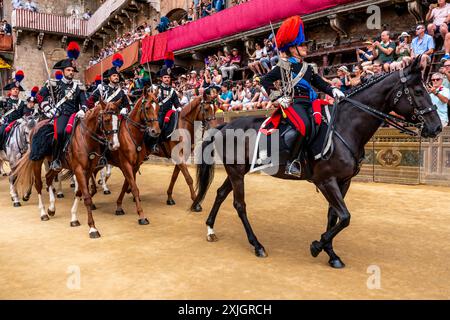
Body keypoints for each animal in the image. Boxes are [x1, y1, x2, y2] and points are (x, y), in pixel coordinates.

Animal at [13, 100, 121, 238]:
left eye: (118, 119)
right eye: (107, 120)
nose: (115, 145)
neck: (86, 138)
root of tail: (37, 125)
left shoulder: (87, 171)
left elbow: (79, 193)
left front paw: (74, 218)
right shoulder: (79, 170)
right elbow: (86, 197)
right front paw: (92, 228)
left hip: (57, 165)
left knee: (48, 178)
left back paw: (51, 208)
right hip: (37, 161)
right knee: (38, 184)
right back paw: (43, 213)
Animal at [191, 57, 442, 268]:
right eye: (418, 90)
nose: (437, 127)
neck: (345, 127)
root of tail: (225, 125)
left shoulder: (343, 181)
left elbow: (335, 216)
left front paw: (331, 254)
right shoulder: (326, 181)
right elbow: (345, 217)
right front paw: (317, 246)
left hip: (237, 171)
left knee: (221, 193)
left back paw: (211, 229)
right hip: (236, 171)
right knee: (239, 204)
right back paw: (257, 244)